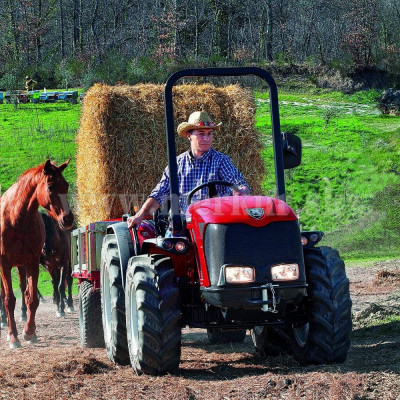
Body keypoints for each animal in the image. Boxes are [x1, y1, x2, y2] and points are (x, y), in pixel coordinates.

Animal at [0, 159, 73, 346]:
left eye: (66, 185)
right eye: (51, 186)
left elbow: (32, 298)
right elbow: (9, 299)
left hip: (22, 266)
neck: (16, 218)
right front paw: (13, 336)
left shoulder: (32, 262)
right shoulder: (4, 264)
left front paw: (29, 332)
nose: (68, 219)